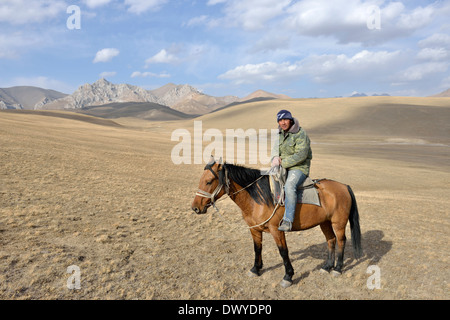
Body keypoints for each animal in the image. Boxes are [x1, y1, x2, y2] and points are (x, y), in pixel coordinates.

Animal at [191, 157, 362, 288]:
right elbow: (257, 249)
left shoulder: (276, 230)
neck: (258, 197)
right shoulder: (254, 229)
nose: (195, 208)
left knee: (341, 240)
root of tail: (344, 186)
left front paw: (288, 276)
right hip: (325, 223)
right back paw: (327, 267)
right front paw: (255, 269)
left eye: (209, 181)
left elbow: (283, 252)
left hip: (338, 223)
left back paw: (337, 269)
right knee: (331, 240)